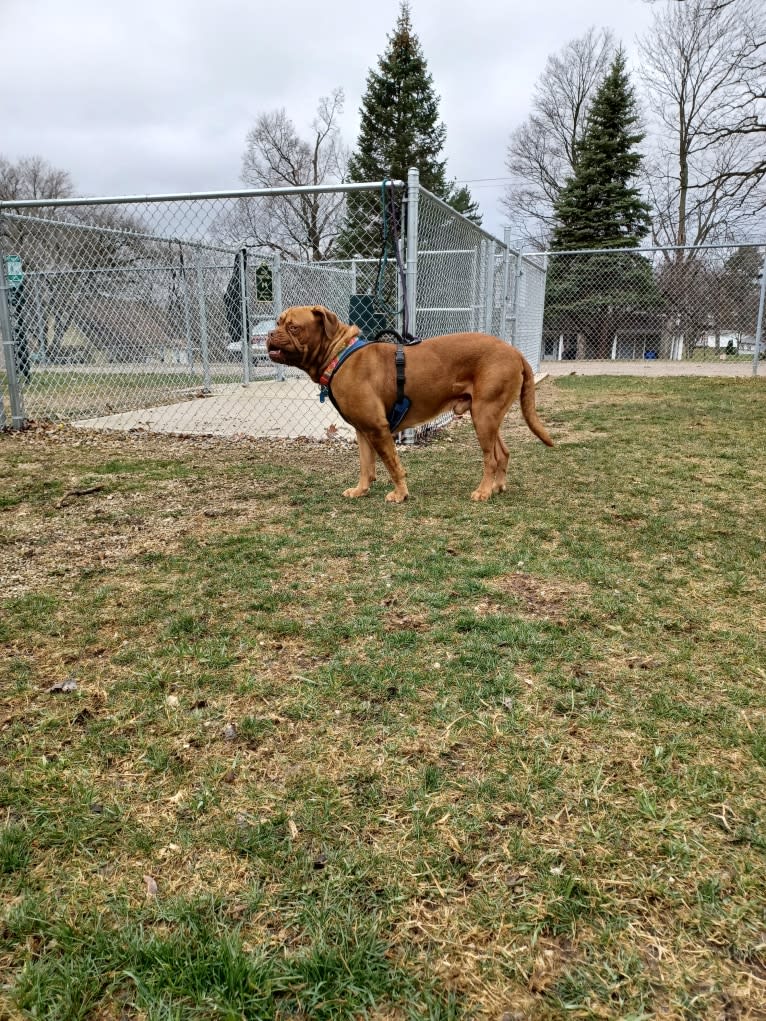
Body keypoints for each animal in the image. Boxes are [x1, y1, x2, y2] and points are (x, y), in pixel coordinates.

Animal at [267, 302, 555, 502]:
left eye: (293, 327)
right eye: (278, 322)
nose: (269, 333)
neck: (339, 354)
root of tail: (515, 352)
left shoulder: (378, 428)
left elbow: (393, 464)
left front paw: (400, 494)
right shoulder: (363, 430)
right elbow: (365, 465)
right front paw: (361, 490)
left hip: (484, 415)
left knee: (491, 459)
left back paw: (483, 491)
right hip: (487, 416)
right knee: (502, 452)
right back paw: (497, 487)